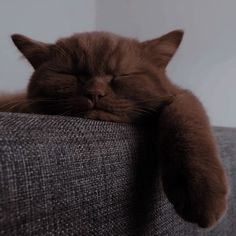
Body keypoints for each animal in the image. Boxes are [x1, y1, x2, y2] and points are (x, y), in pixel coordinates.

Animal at [0, 29, 229, 227]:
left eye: (120, 75)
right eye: (71, 75)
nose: (94, 93)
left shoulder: (178, 95)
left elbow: (186, 116)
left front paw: (199, 188)